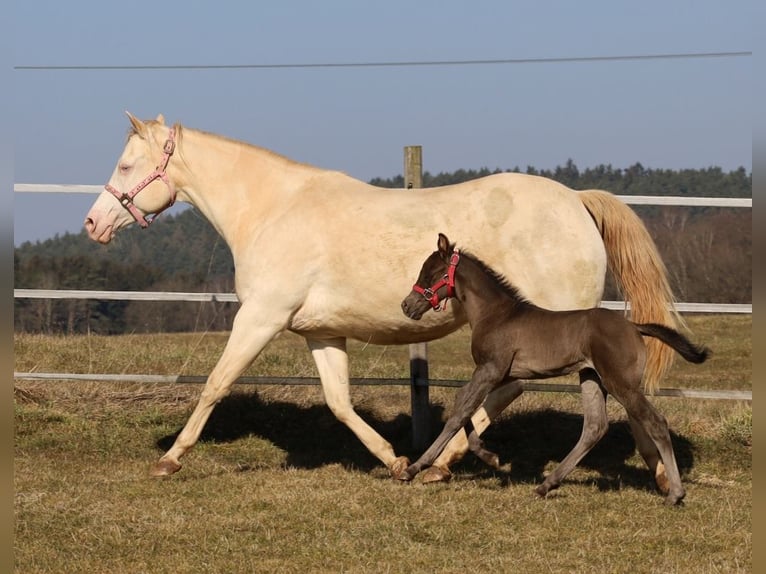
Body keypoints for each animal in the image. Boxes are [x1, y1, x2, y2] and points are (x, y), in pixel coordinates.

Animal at [85, 113, 680, 486]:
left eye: (125, 166)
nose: (94, 223)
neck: (273, 210)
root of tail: (577, 201)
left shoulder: (260, 317)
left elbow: (216, 384)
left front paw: (170, 460)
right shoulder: (321, 332)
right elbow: (339, 402)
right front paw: (393, 461)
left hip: (553, 327)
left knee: (531, 390)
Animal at [404, 234, 712, 508]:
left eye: (431, 273)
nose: (407, 305)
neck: (495, 314)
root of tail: (634, 326)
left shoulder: (491, 369)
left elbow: (458, 413)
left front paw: (415, 467)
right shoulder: (500, 374)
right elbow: (462, 403)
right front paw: (490, 456)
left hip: (621, 383)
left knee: (655, 422)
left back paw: (675, 494)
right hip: (592, 378)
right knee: (595, 427)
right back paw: (547, 484)